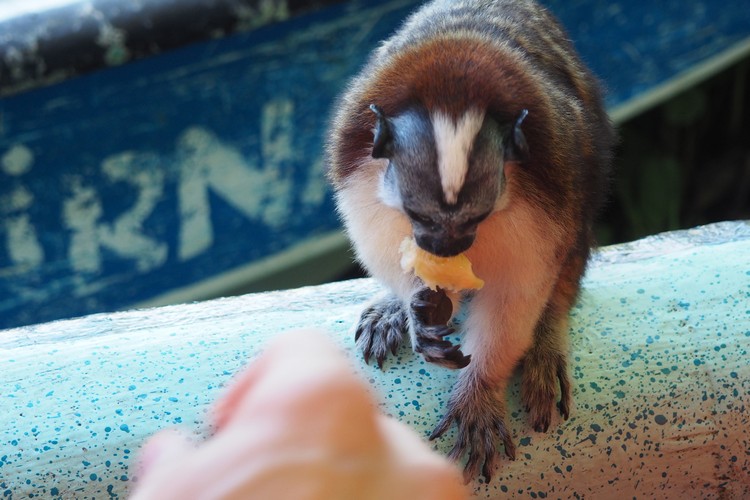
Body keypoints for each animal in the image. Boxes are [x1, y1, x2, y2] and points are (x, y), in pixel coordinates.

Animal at [326, 0, 612, 482]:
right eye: (420, 217)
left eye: (475, 218)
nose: (444, 249)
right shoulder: (360, 174)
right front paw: (417, 312)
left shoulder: (543, 200)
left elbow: (516, 294)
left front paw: (479, 392)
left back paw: (546, 337)